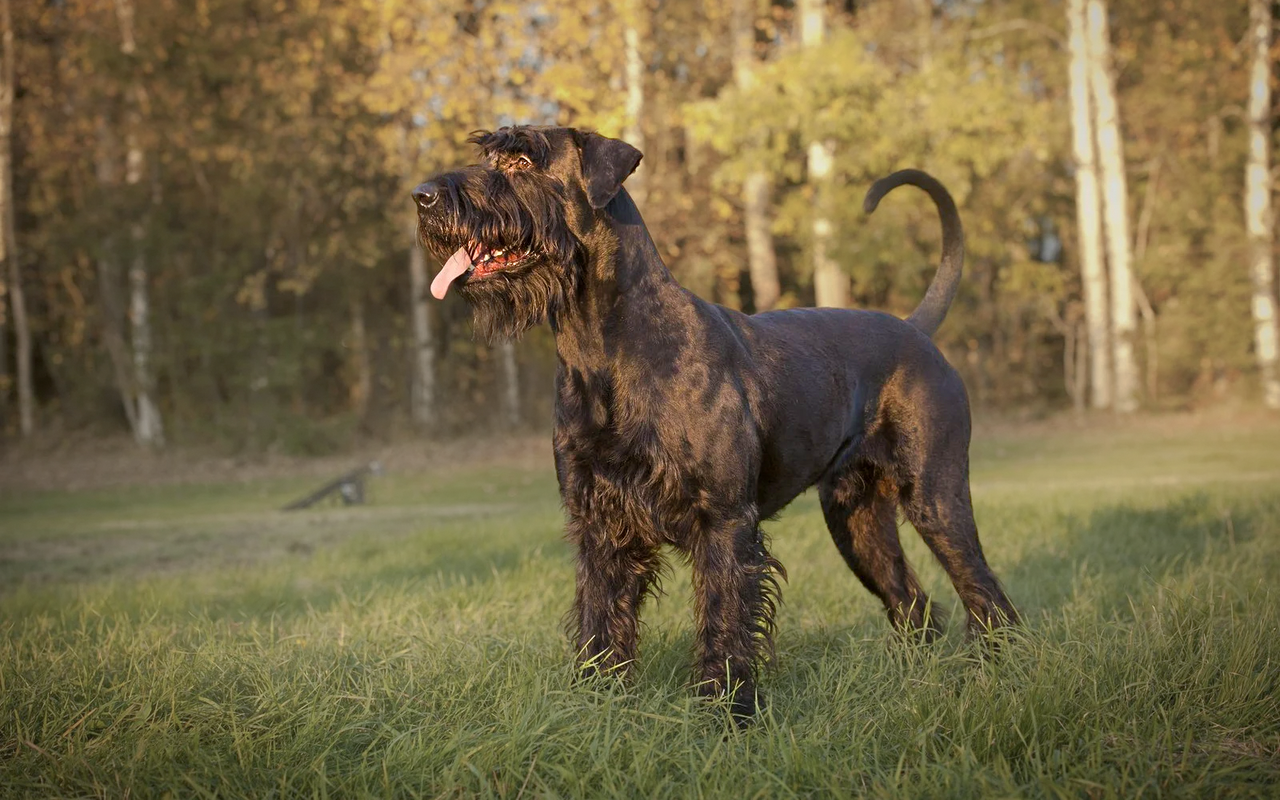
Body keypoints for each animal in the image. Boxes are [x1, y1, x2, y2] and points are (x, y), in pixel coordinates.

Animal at [414, 126, 1013, 716]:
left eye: (523, 160)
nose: (422, 196)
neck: (604, 346)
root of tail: (916, 330)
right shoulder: (600, 520)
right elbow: (600, 614)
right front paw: (595, 699)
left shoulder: (723, 520)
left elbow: (724, 616)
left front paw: (725, 709)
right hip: (856, 522)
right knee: (912, 601)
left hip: (936, 499)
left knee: (984, 591)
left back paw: (995, 672)